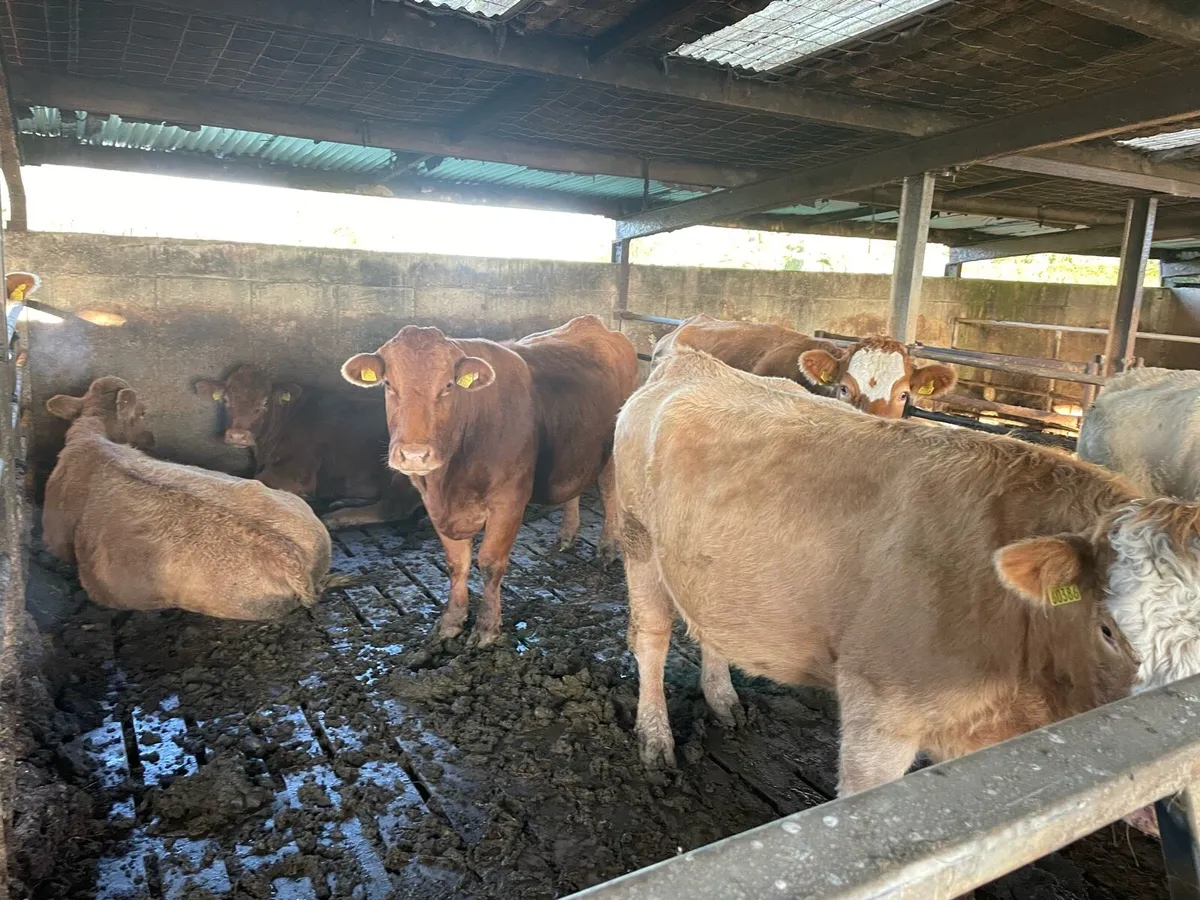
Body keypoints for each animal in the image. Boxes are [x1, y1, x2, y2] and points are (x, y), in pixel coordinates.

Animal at [195, 364, 422, 526]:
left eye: (265, 402)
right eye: (226, 400)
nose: (237, 435)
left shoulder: (295, 472)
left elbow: (253, 480)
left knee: (393, 507)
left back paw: (336, 517)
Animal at [340, 315, 638, 645]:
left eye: (447, 386)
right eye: (389, 384)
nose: (414, 455)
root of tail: (592, 323)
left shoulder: (509, 500)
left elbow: (490, 563)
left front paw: (486, 627)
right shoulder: (436, 505)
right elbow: (457, 564)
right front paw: (452, 621)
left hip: (612, 449)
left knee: (609, 493)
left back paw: (607, 549)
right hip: (573, 446)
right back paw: (566, 536)